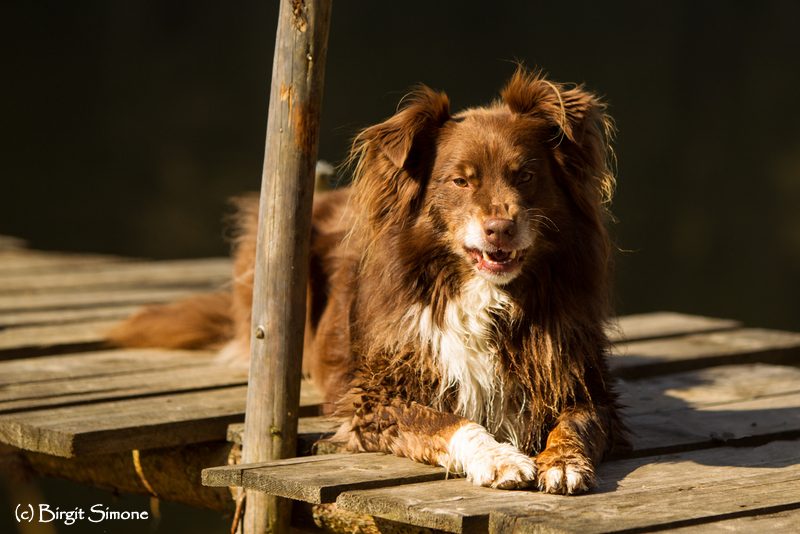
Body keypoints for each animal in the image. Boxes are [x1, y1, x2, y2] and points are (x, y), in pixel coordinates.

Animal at [108, 69, 632, 496]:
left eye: (525, 176)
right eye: (460, 181)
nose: (499, 229)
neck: (485, 295)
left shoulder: (587, 387)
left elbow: (577, 422)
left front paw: (562, 461)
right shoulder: (375, 401)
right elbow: (449, 420)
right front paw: (500, 457)